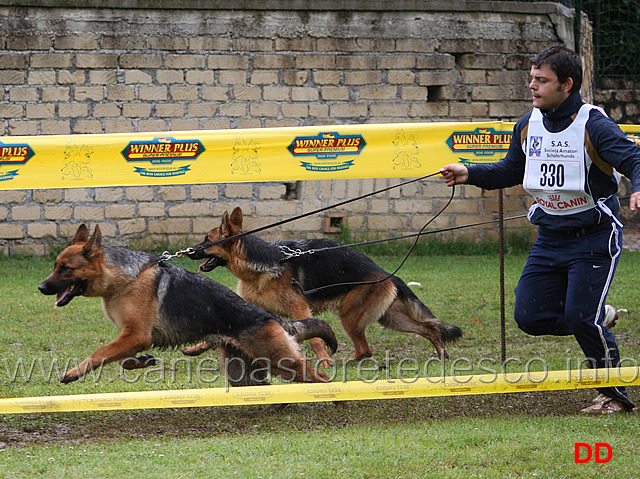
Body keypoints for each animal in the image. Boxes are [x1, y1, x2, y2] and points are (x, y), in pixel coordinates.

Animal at [38, 224, 340, 386]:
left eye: (65, 268)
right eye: (55, 266)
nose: (41, 288)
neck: (126, 278)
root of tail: (272, 318)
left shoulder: (136, 335)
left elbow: (99, 353)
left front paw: (73, 372)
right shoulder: (131, 337)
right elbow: (119, 357)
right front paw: (141, 361)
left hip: (283, 363)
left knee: (319, 378)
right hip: (243, 372)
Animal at [182, 208, 462, 366]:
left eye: (207, 240)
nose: (189, 251)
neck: (259, 266)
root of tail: (385, 273)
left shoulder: (300, 309)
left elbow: (316, 339)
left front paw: (325, 362)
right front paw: (197, 348)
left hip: (350, 317)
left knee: (366, 349)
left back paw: (344, 361)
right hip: (390, 318)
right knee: (428, 328)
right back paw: (440, 353)